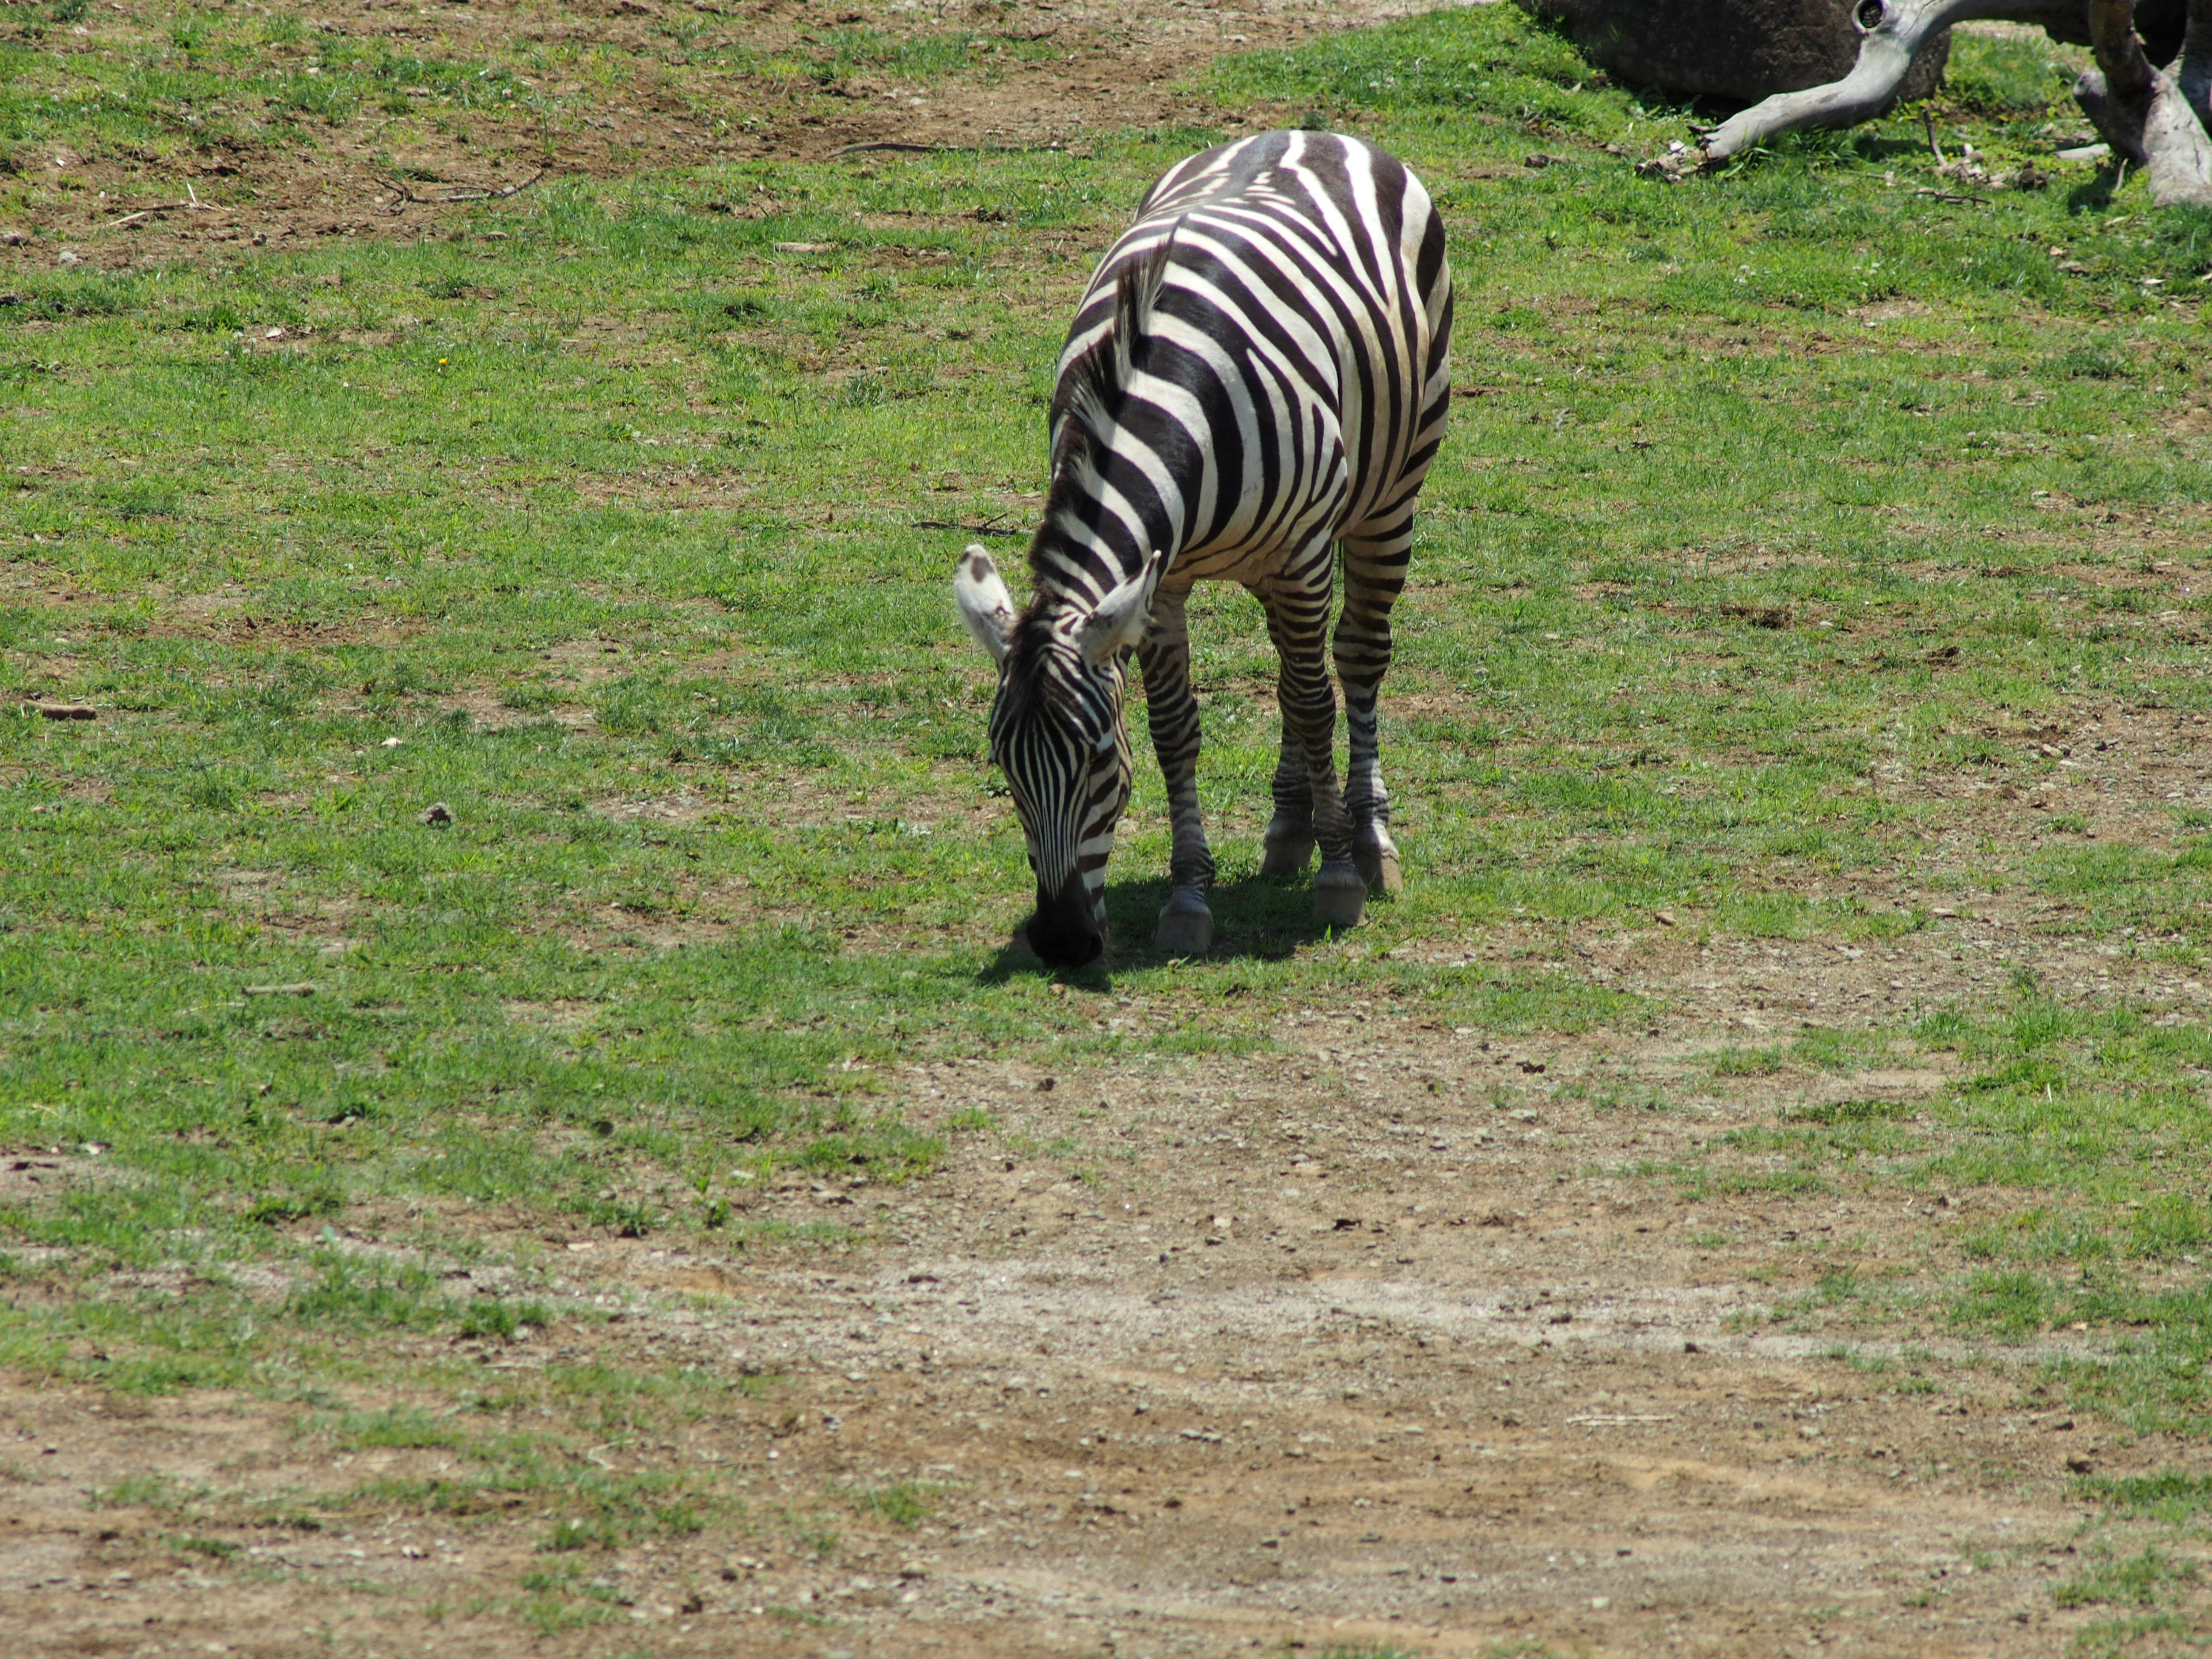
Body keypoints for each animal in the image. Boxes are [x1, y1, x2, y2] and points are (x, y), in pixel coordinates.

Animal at [951, 130, 1451, 973]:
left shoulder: (1303, 554)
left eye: (1098, 760)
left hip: (1387, 498)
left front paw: (1340, 879)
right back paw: (1290, 830)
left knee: (1353, 660)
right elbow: (1178, 726)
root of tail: (1310, 130)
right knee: (1292, 670)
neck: (1165, 390)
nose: (1061, 942)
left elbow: (1314, 705)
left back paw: (1367, 835)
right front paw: (1189, 897)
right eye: (1003, 765)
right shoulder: (1162, 580)